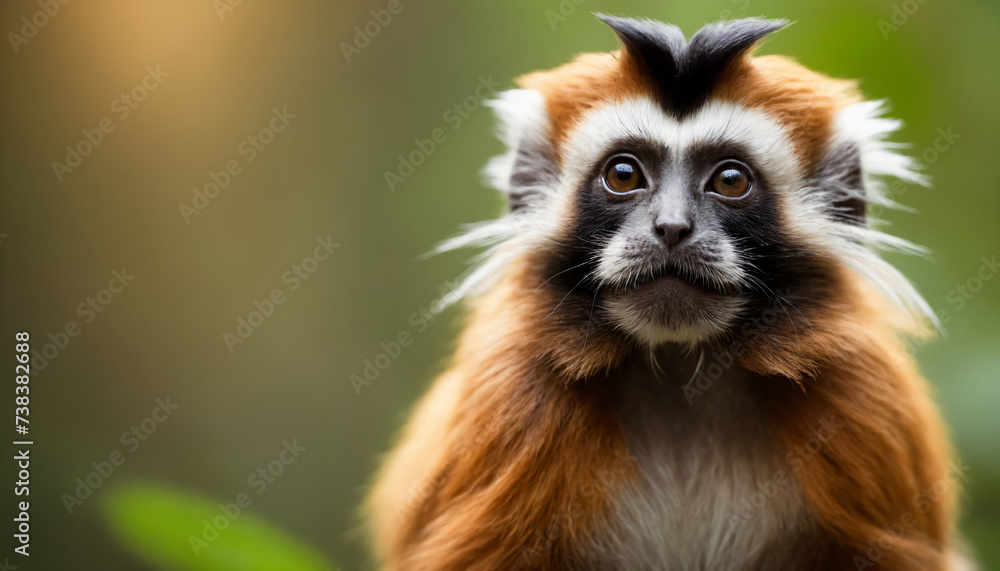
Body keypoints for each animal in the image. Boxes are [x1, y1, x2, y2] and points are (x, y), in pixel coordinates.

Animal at [366, 15, 973, 571]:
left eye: (730, 181)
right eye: (624, 175)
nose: (672, 227)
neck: (681, 365)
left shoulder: (862, 400)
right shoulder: (515, 402)